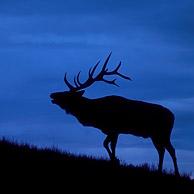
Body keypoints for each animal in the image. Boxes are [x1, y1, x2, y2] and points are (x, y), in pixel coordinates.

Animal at [50, 53, 180, 176]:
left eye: (67, 94)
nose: (52, 94)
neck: (95, 115)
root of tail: (173, 116)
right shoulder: (112, 131)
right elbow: (106, 144)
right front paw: (115, 160)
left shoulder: (114, 129)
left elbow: (109, 145)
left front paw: (115, 161)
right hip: (155, 135)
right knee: (162, 150)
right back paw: (159, 170)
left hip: (163, 133)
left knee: (170, 150)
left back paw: (176, 173)